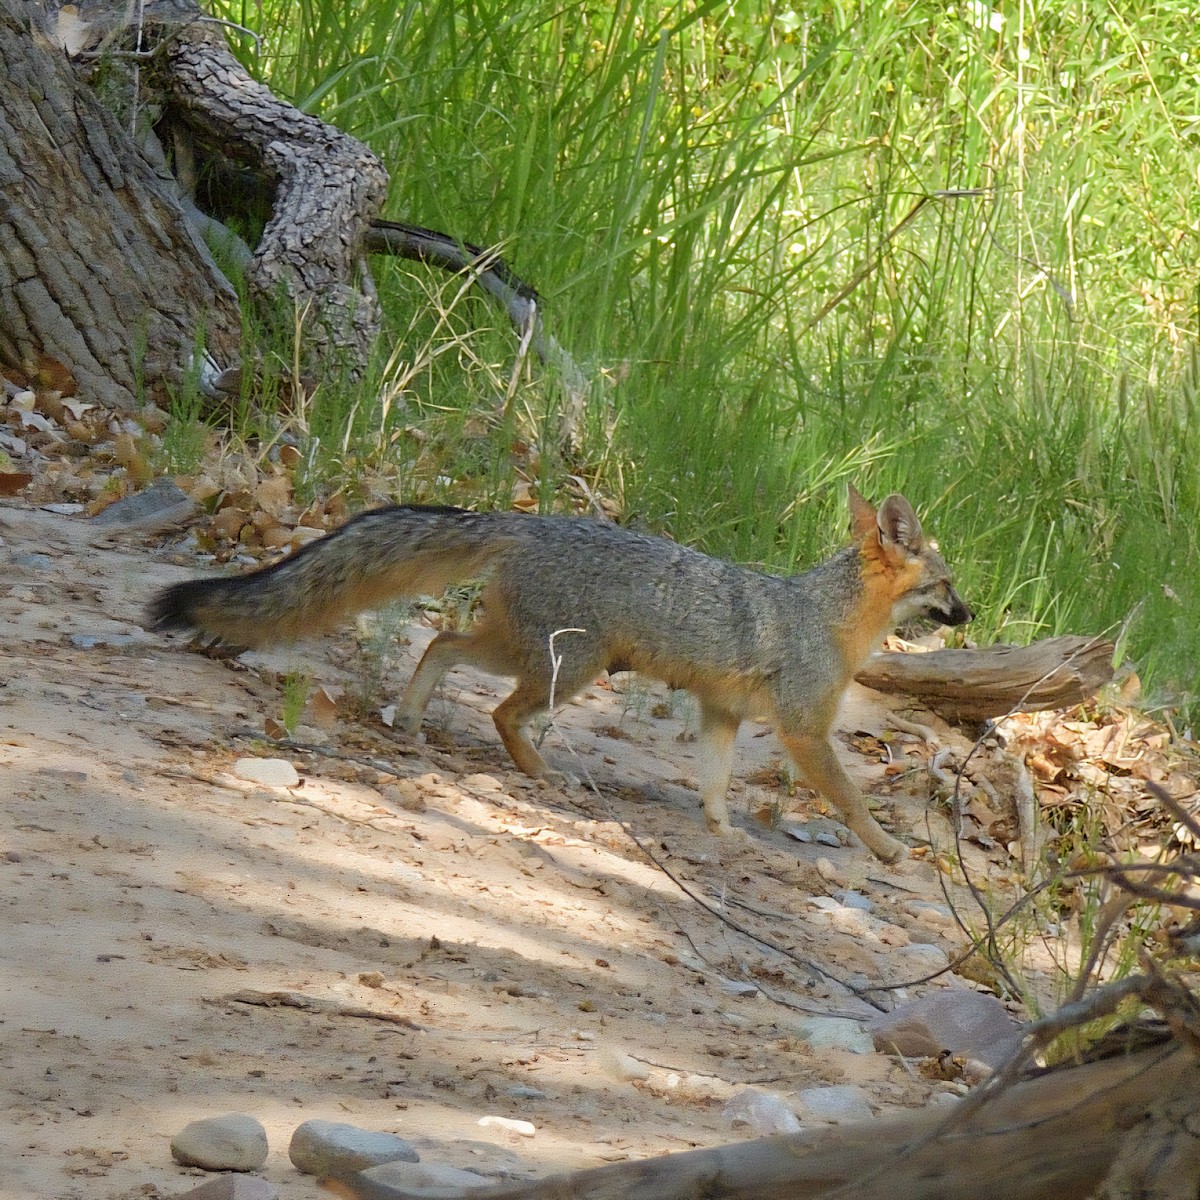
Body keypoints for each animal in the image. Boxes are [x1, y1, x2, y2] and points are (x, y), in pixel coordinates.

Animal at [148, 486, 971, 862]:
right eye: (946, 585)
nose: (971, 613)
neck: (824, 615)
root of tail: (528, 520)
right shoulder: (804, 729)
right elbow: (851, 800)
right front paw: (888, 847)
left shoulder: (722, 713)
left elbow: (713, 781)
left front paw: (720, 828)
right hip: (568, 669)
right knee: (500, 712)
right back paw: (542, 774)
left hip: (523, 650)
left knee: (440, 642)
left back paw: (411, 719)